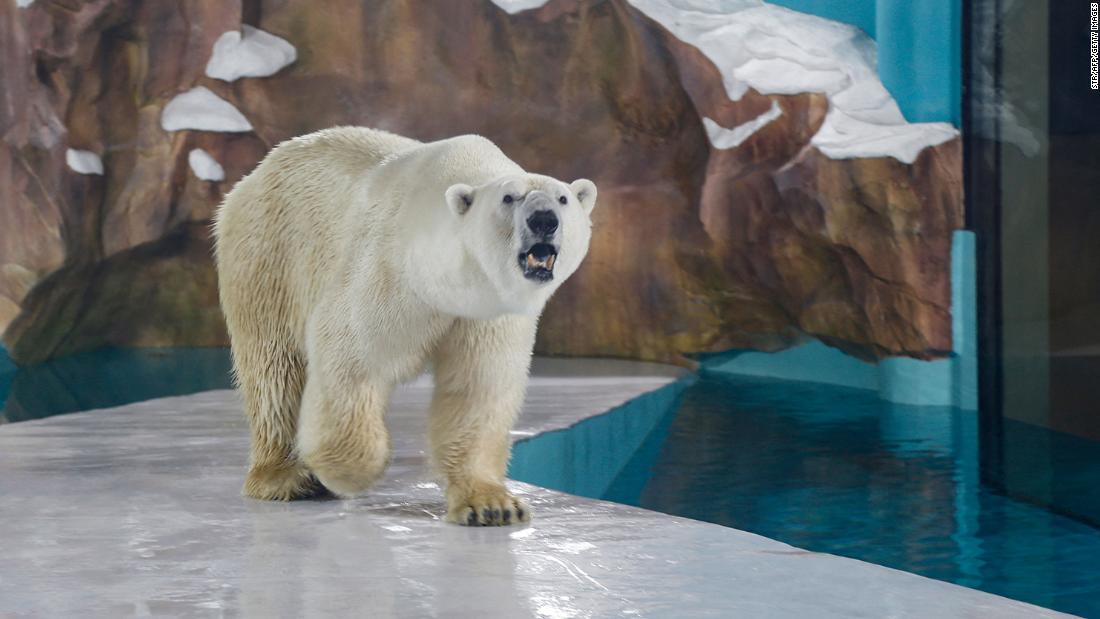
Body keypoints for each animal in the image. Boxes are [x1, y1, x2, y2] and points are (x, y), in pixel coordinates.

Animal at [210, 128, 598, 525]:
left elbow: (477, 387)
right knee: (274, 367)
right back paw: (286, 476)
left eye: (563, 198)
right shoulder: (390, 269)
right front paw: (346, 471)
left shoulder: (488, 310)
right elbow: (349, 354)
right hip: (269, 253)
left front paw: (491, 505)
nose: (544, 219)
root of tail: (254, 175)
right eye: (508, 197)